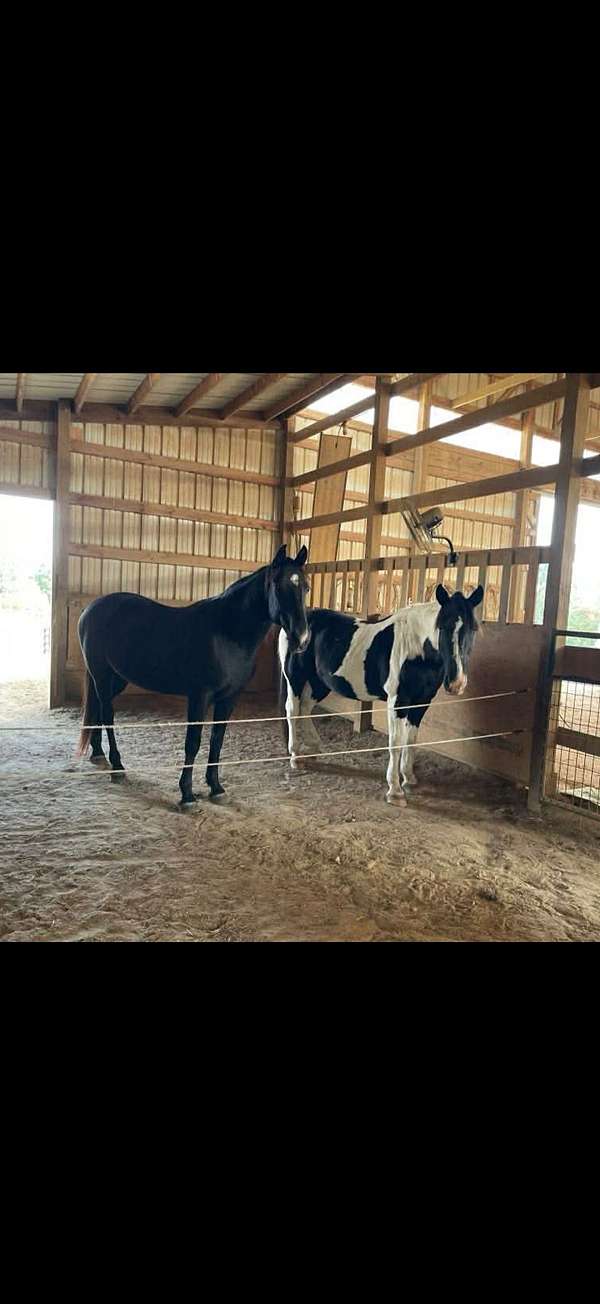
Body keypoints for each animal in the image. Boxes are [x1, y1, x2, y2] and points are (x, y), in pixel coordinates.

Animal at [77, 545, 310, 805]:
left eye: (305, 587)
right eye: (278, 586)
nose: (301, 639)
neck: (227, 633)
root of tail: (91, 608)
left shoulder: (229, 698)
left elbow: (217, 740)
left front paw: (216, 787)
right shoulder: (199, 696)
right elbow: (193, 742)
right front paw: (186, 793)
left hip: (116, 679)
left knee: (99, 707)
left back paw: (98, 753)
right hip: (102, 675)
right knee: (108, 714)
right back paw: (117, 766)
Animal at [278, 583, 484, 804]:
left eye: (473, 629)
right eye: (442, 627)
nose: (456, 683)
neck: (416, 648)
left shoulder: (421, 702)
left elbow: (411, 740)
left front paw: (409, 778)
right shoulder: (398, 701)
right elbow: (395, 743)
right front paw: (395, 791)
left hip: (319, 682)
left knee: (305, 708)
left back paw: (313, 747)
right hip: (295, 679)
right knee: (292, 711)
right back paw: (295, 756)